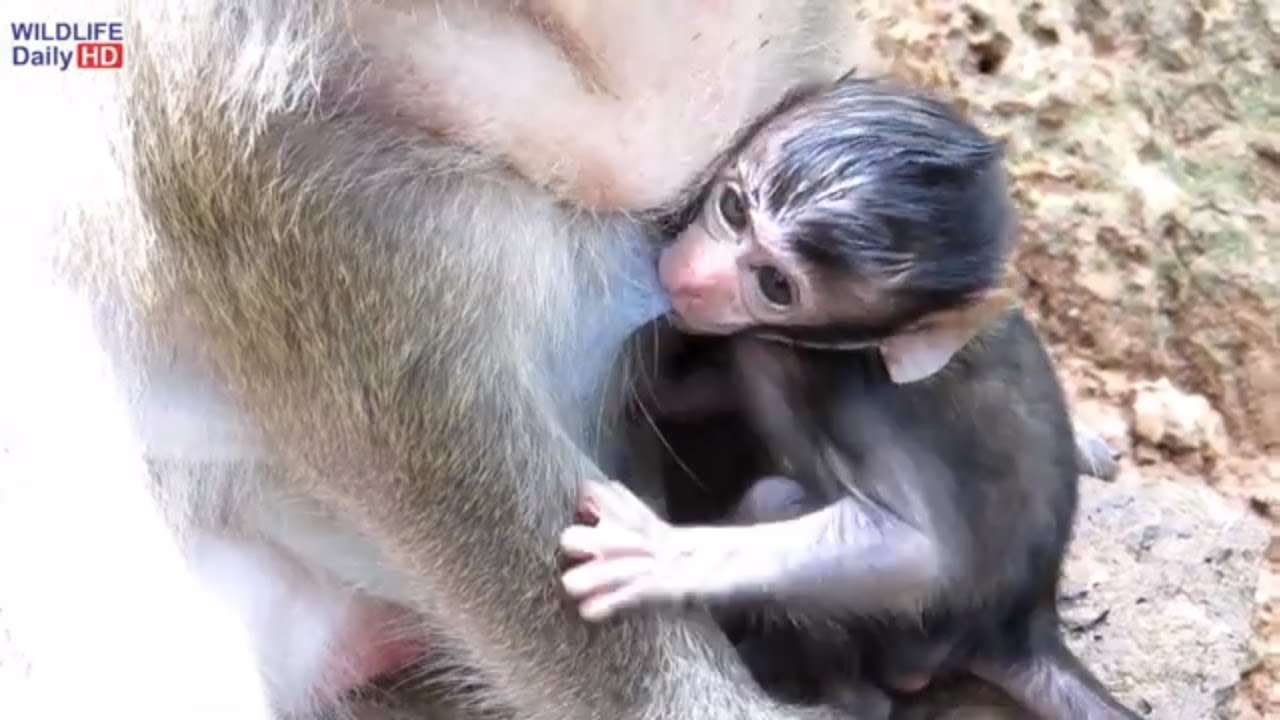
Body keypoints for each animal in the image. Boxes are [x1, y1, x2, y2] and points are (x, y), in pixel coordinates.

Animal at [558, 78, 1139, 720]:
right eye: (732, 209)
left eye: (775, 285)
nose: (690, 280)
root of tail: (1023, 625)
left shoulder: (854, 394)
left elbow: (917, 553)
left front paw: (662, 555)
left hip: (913, 640)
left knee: (775, 502)